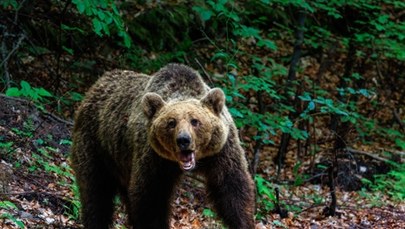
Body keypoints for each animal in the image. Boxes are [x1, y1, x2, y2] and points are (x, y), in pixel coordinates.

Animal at [69, 63, 252, 229]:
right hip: (96, 146)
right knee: (96, 192)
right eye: (171, 122)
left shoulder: (221, 151)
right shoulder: (154, 158)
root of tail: (96, 85)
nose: (183, 140)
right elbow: (151, 200)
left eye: (195, 121)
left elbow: (232, 189)